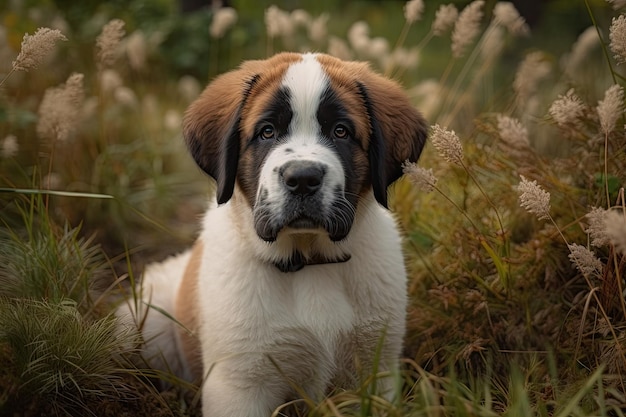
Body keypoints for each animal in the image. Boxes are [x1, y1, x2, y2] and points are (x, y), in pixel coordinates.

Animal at [117, 52, 426, 416]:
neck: (309, 262)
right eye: (267, 132)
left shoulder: (376, 372)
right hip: (143, 317)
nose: (303, 178)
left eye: (341, 131)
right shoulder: (239, 386)